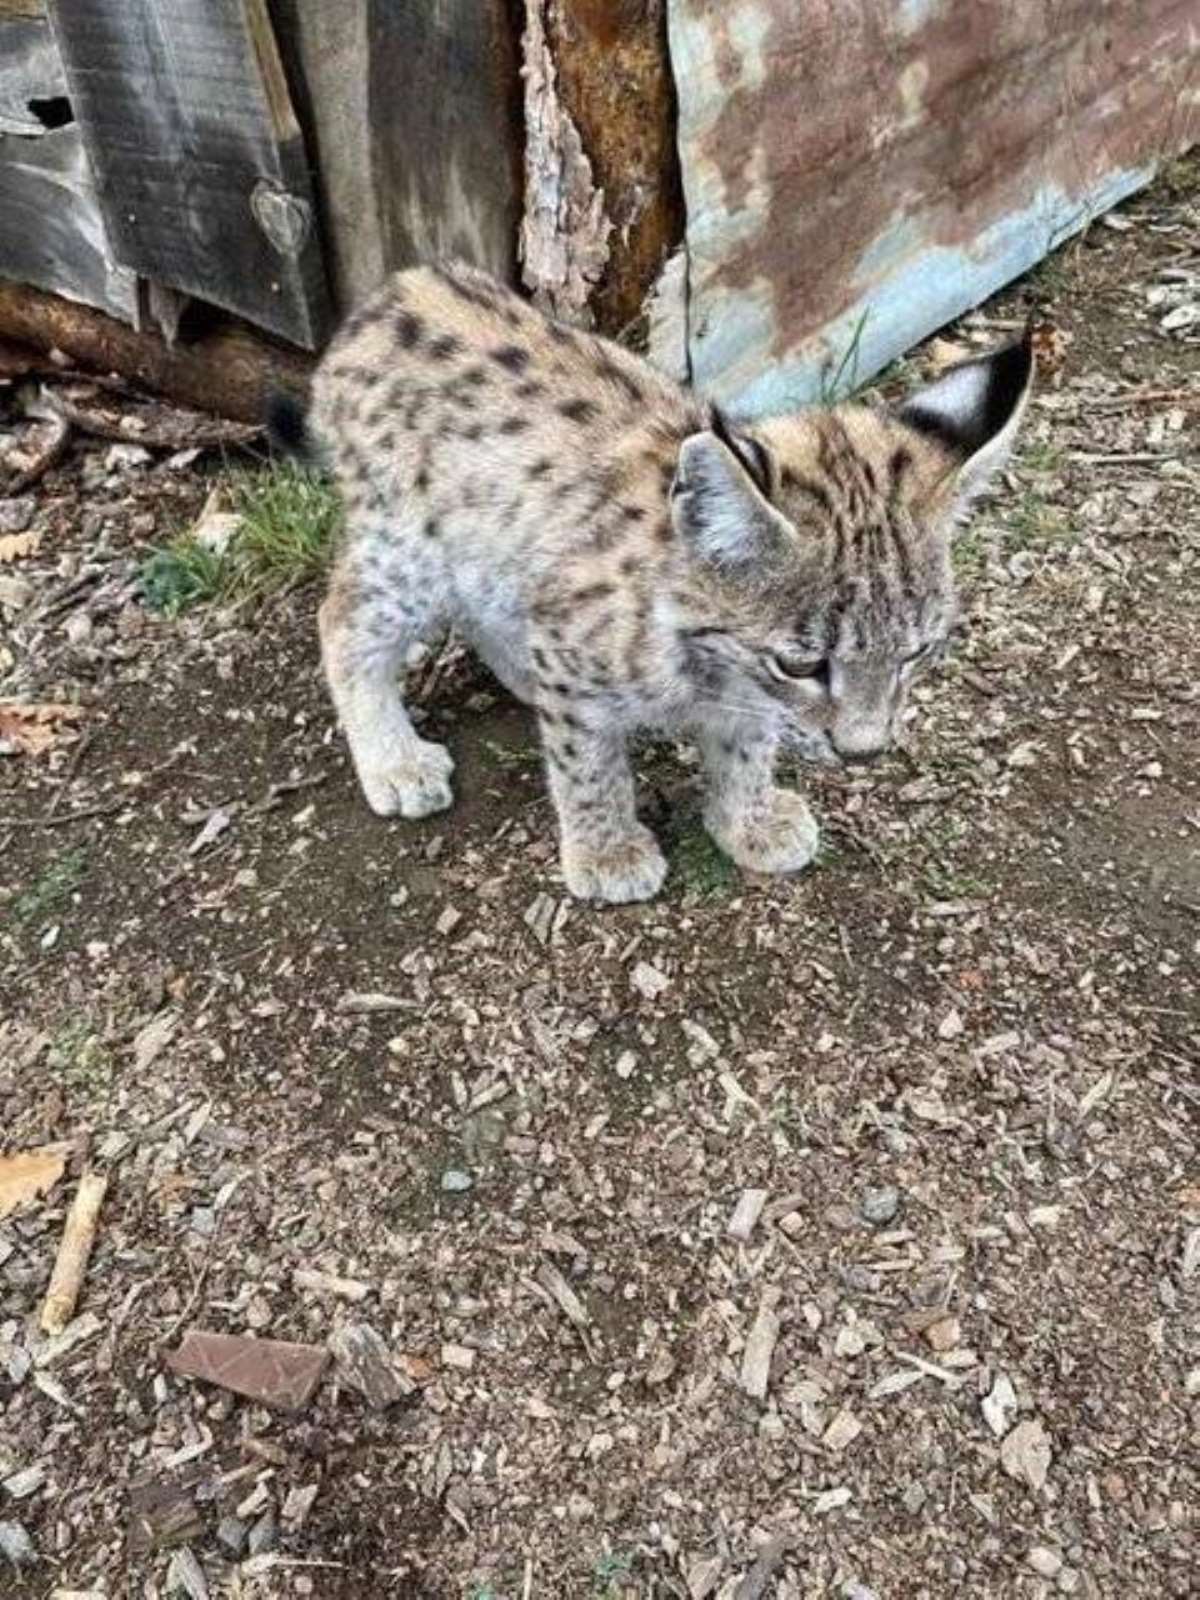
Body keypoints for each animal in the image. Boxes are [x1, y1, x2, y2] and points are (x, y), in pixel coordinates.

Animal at [272, 268, 1036, 908]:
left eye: (917, 653)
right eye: (803, 664)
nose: (864, 753)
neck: (704, 658)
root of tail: (386, 298)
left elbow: (746, 743)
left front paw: (747, 819)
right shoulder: (585, 651)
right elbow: (589, 763)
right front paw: (607, 851)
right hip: (411, 551)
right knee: (339, 615)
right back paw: (394, 760)